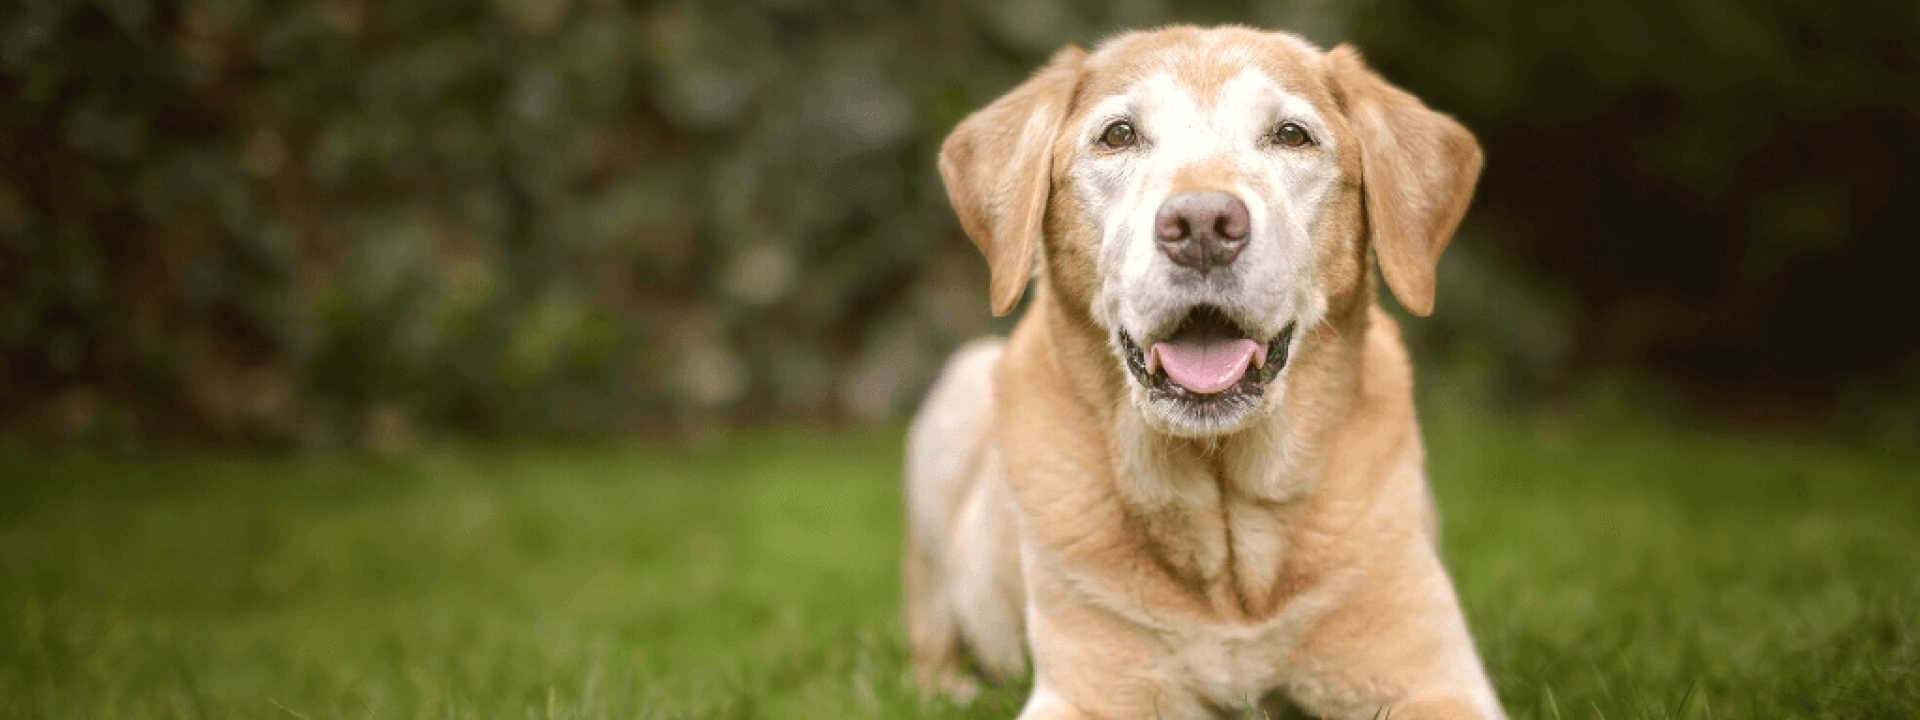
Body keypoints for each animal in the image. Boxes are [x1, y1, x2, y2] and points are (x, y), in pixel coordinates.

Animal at [898, 25, 1497, 718]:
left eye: (1291, 135)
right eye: (1119, 135)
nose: (1203, 226)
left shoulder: (1436, 678)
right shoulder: (1083, 693)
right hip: (956, 401)